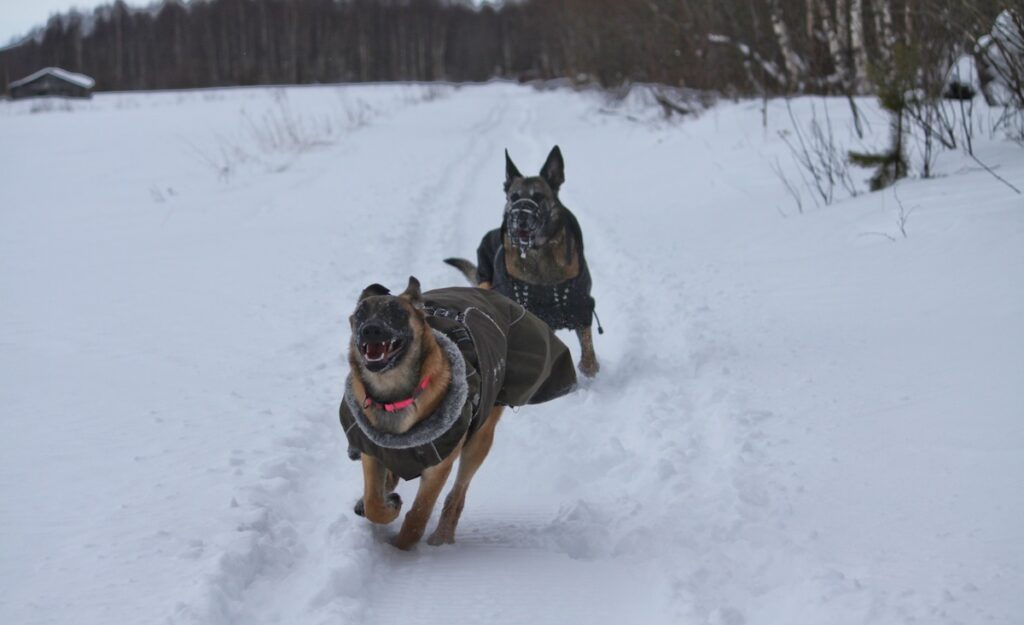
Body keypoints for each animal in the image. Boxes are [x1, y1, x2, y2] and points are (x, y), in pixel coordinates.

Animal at [337, 276, 573, 545]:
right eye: (360, 313)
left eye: (396, 312)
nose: (370, 329)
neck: (394, 396)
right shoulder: (372, 451)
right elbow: (373, 502)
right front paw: (386, 505)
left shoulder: (439, 466)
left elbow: (418, 516)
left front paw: (401, 549)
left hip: (478, 440)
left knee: (458, 493)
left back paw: (442, 537)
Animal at [442, 144, 598, 375]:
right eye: (513, 197)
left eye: (539, 196)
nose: (519, 216)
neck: (539, 255)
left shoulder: (580, 305)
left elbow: (587, 349)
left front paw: (588, 367)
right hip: (486, 281)